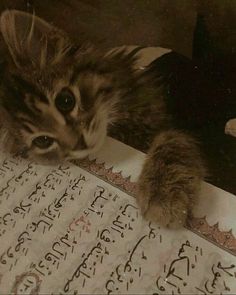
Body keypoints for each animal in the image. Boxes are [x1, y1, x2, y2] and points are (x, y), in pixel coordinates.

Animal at [0, 10, 205, 229]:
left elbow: (172, 141)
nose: (79, 143)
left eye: (66, 101)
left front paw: (164, 192)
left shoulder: (166, 120)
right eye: (43, 141)